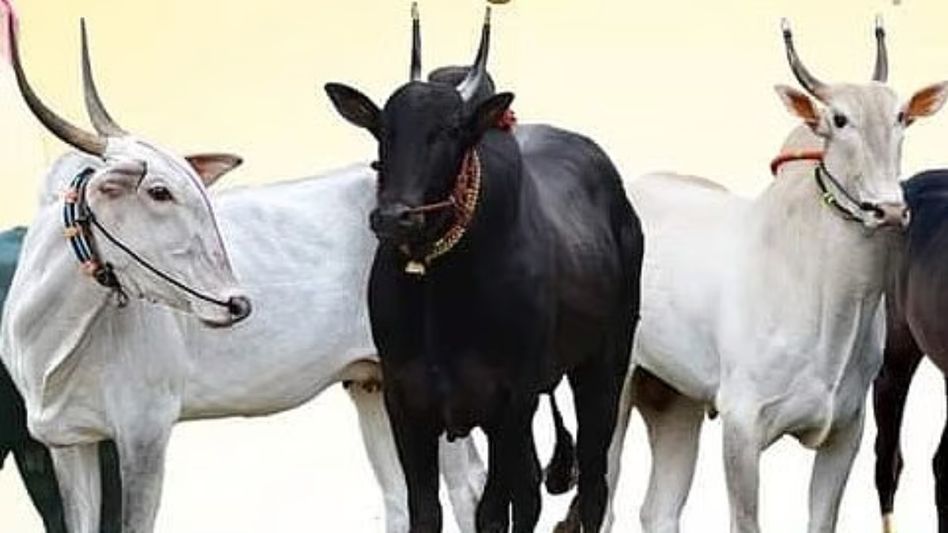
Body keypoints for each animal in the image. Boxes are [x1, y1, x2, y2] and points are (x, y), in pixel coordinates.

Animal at [324, 7, 643, 533]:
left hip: (604, 364)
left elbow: (492, 513)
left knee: (594, 484)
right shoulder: (405, 403)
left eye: (451, 130)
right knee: (534, 492)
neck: (438, 295)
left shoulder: (509, 404)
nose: (394, 217)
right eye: (383, 130)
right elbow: (426, 510)